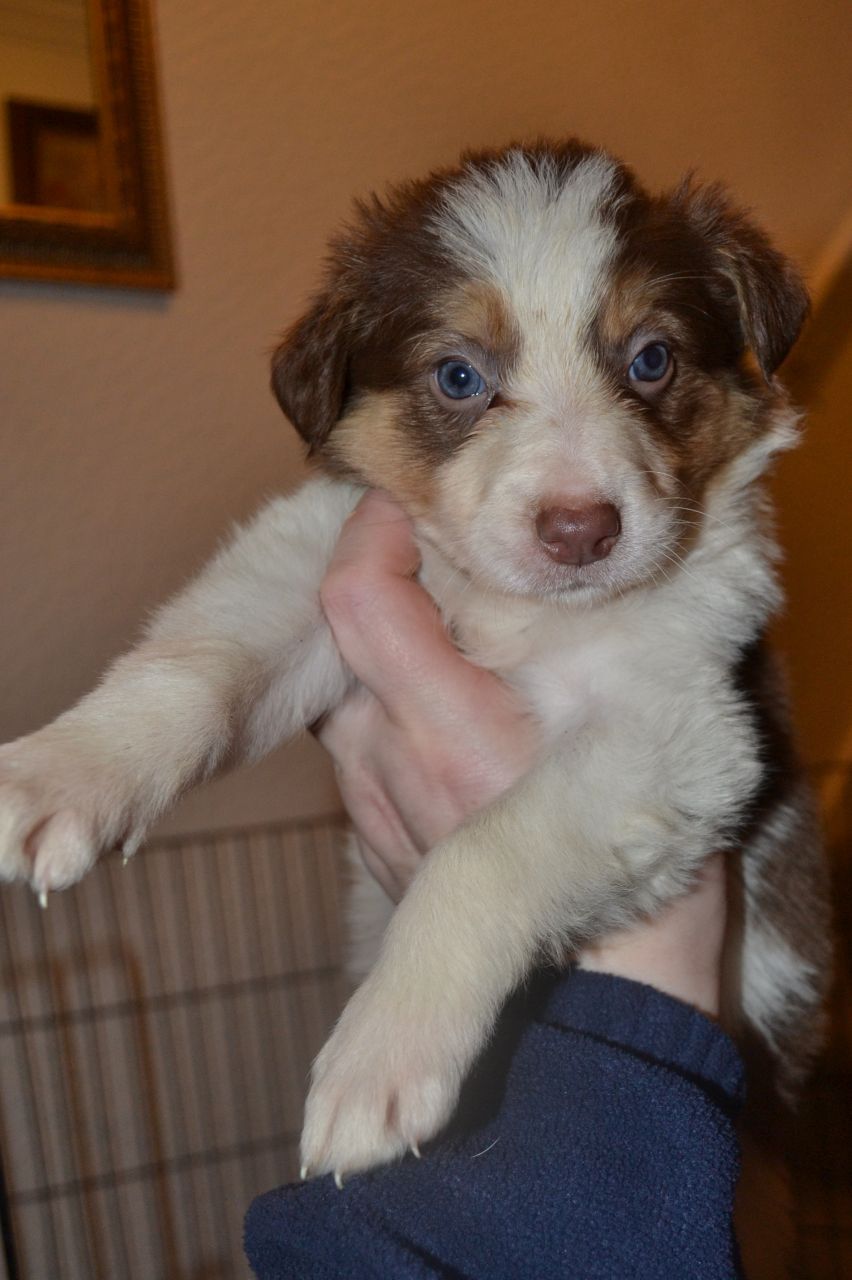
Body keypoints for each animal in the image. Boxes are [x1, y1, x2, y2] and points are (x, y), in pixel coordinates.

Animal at [0, 140, 823, 1177]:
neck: (521, 614)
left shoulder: (684, 725)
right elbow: (201, 661)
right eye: (458, 376)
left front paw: (379, 1058)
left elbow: (485, 847)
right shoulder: (317, 564)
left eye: (651, 359)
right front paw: (61, 774)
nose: (580, 531)